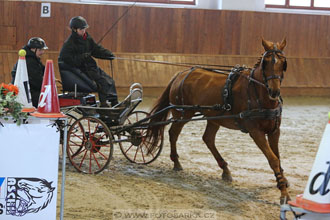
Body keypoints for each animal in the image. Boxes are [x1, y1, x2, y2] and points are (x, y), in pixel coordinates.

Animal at [146, 38, 288, 205]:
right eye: (265, 63)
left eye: (283, 63)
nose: (274, 91)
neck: (257, 94)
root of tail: (181, 74)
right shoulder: (256, 132)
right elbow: (273, 159)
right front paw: (284, 193)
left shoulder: (274, 131)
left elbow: (277, 157)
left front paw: (282, 181)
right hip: (182, 114)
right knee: (173, 133)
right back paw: (176, 162)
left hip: (214, 118)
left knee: (208, 139)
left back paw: (225, 170)